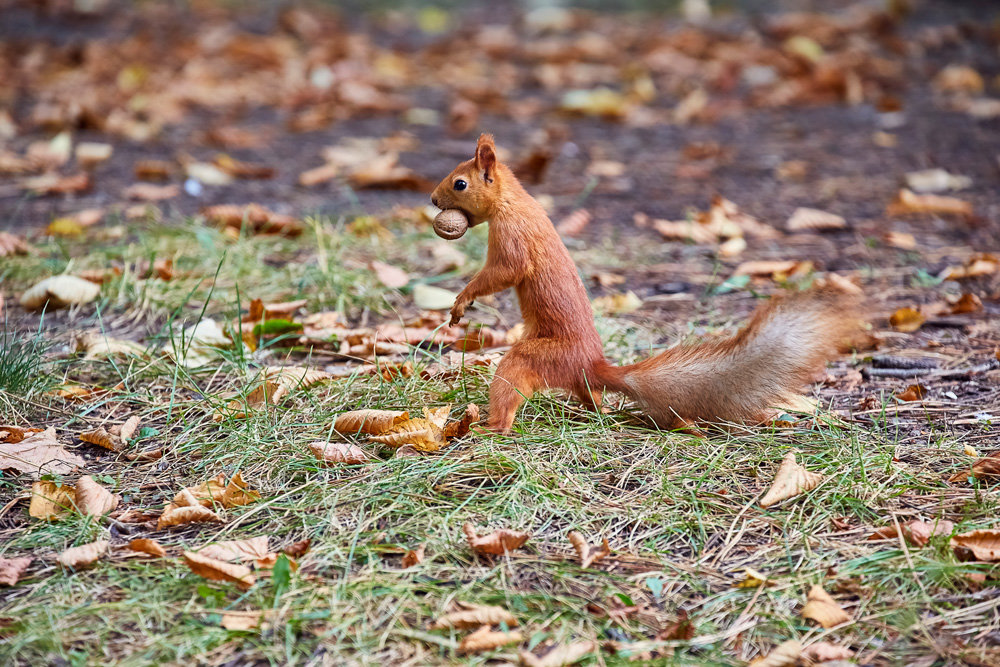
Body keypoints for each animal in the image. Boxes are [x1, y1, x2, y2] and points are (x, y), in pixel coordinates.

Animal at [430, 134, 860, 436]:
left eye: (460, 183)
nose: (433, 199)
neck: (513, 202)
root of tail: (592, 363)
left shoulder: (513, 240)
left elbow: (503, 272)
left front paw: (461, 300)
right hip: (575, 378)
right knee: (593, 397)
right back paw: (593, 411)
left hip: (535, 359)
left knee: (513, 388)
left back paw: (489, 428)